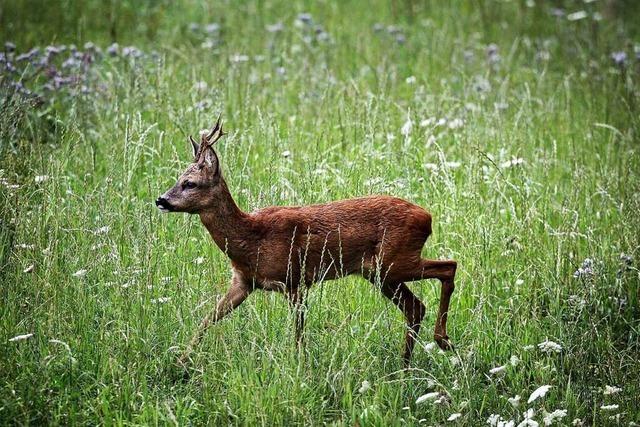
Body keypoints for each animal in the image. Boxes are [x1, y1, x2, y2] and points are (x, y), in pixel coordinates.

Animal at [157, 117, 458, 368]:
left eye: (190, 183)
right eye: (178, 179)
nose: (161, 200)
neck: (251, 239)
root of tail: (427, 217)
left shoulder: (294, 279)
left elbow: (298, 332)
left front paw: (299, 366)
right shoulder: (243, 282)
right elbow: (207, 319)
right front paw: (180, 362)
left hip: (394, 261)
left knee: (449, 266)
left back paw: (442, 341)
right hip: (379, 273)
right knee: (416, 307)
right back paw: (404, 365)